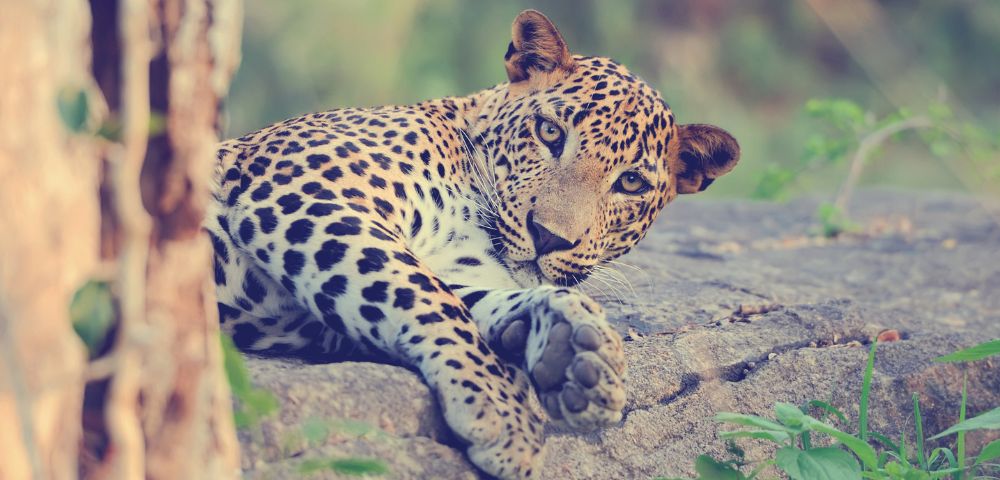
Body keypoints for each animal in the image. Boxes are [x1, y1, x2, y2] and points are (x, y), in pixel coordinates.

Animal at [208, 10, 739, 479]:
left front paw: (571, 348)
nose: (549, 236)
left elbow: (457, 297)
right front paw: (504, 410)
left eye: (631, 182)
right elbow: (427, 296)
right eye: (550, 132)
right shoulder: (310, 190)